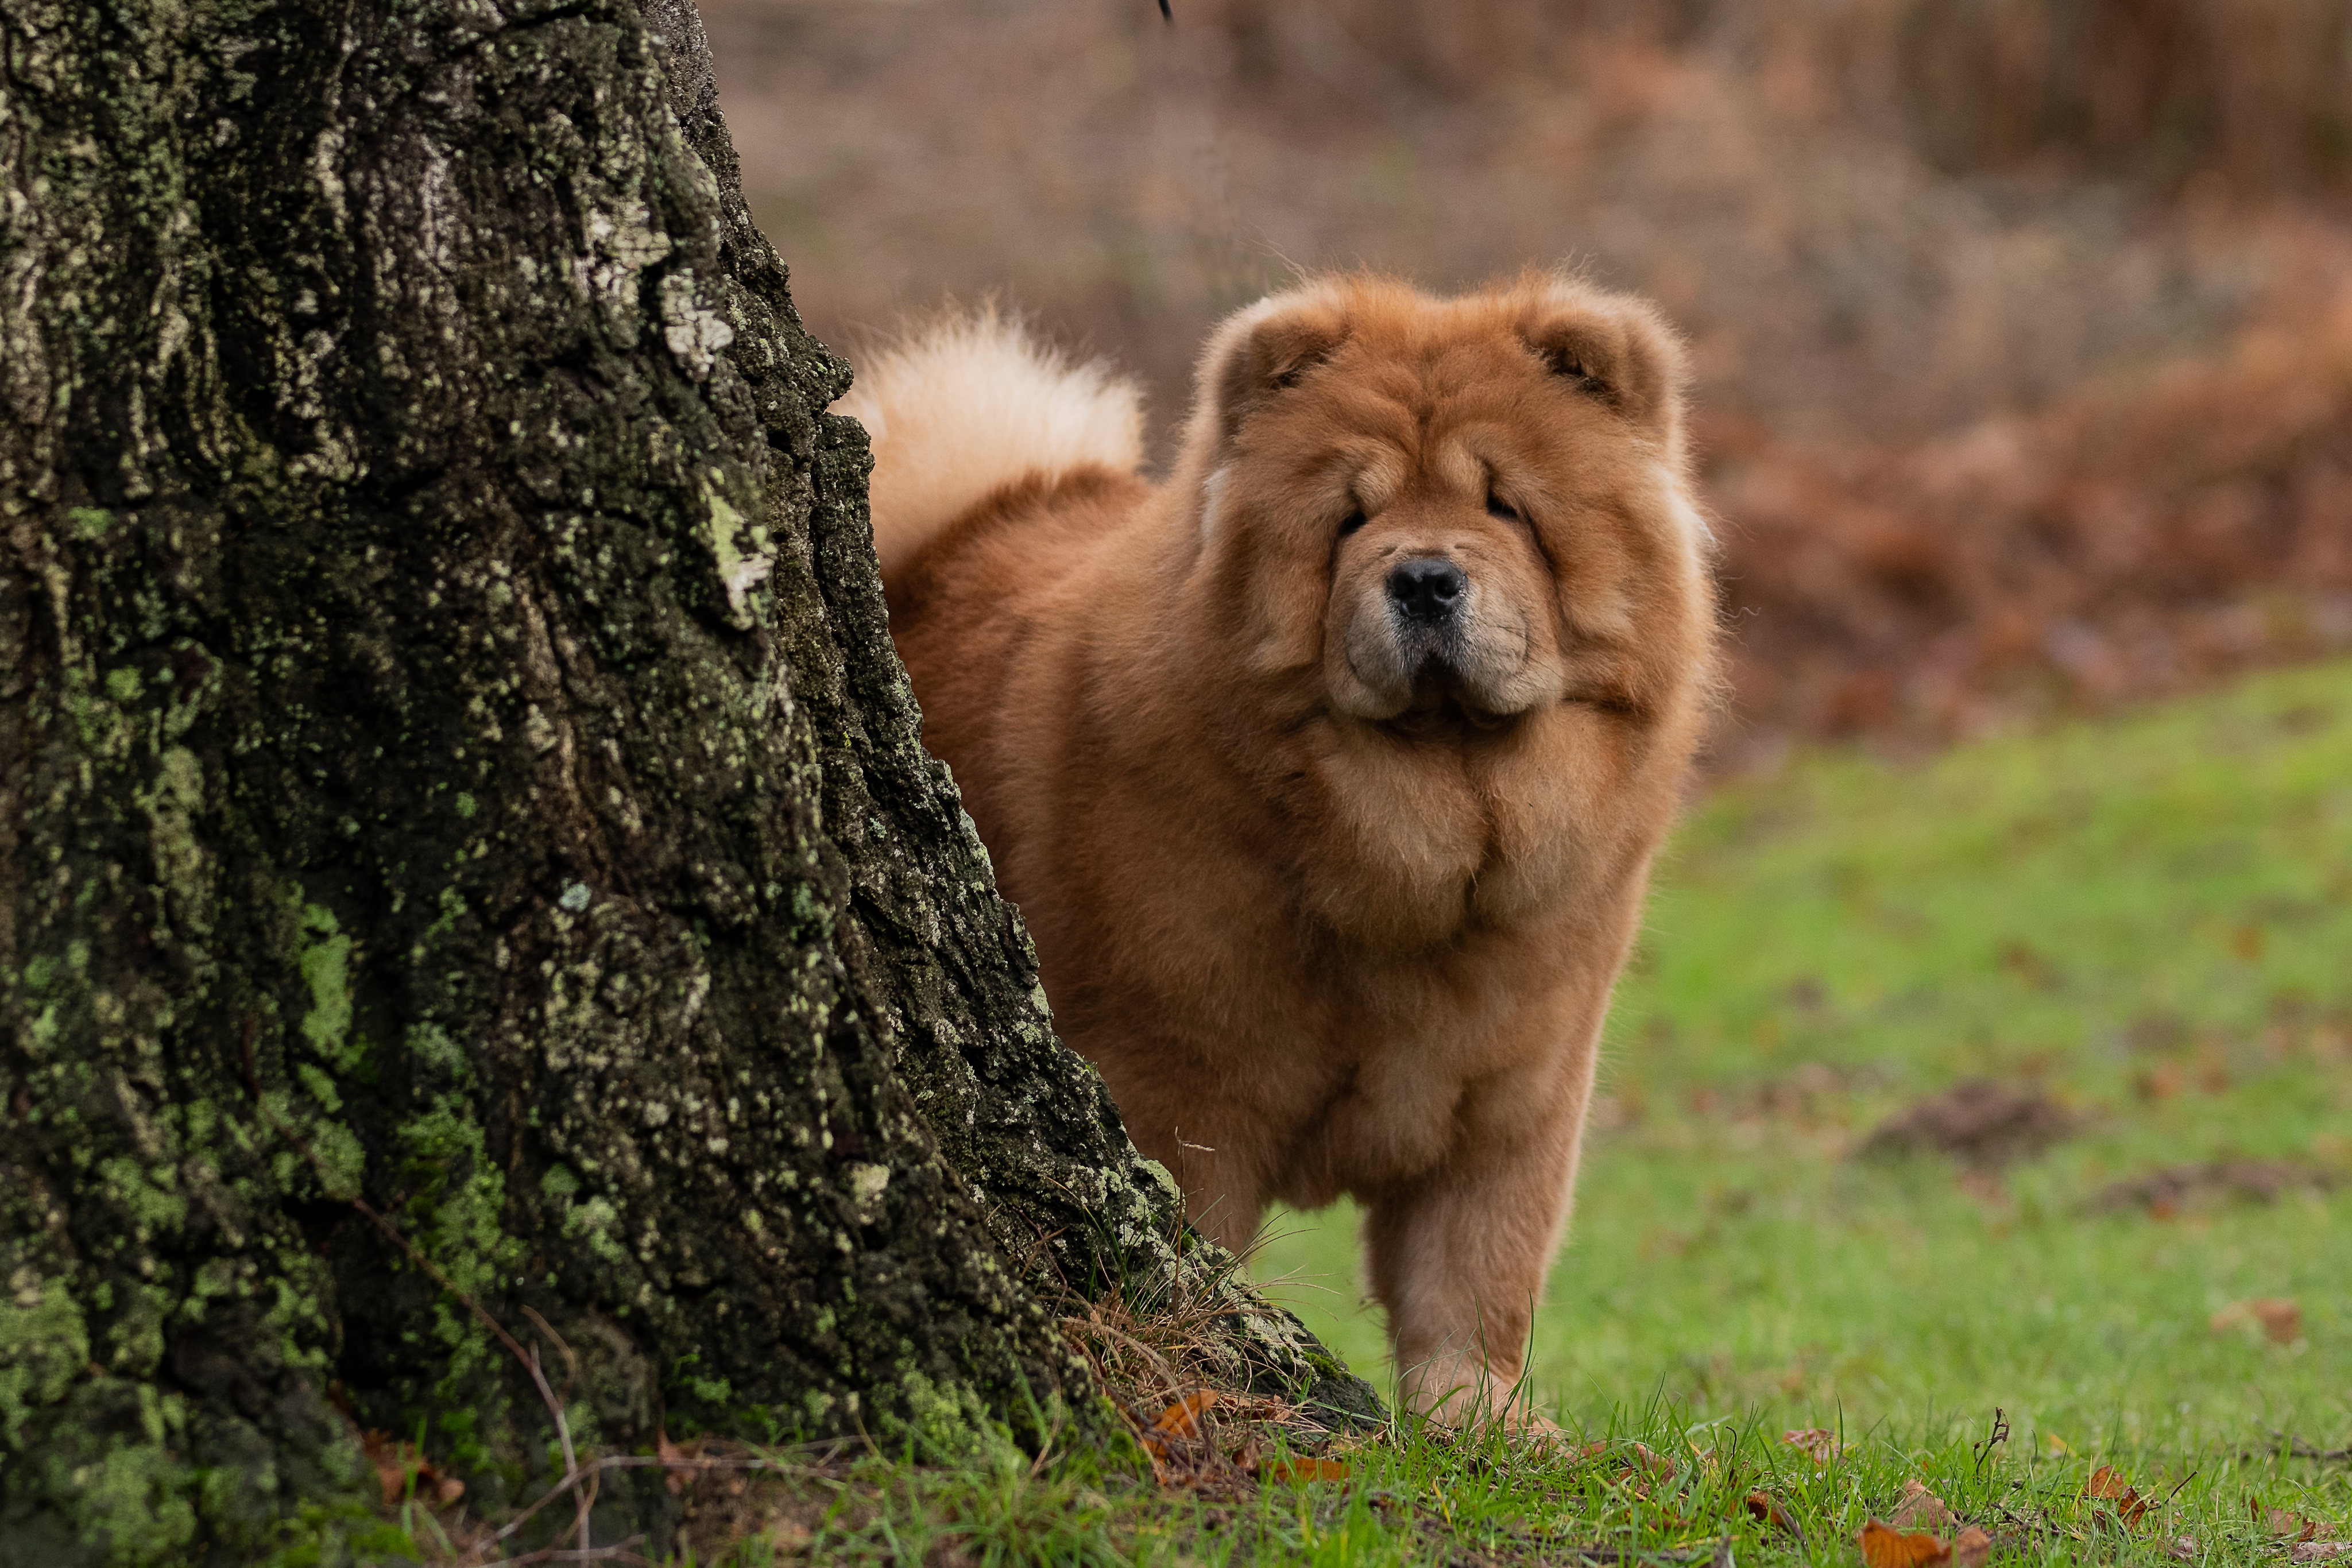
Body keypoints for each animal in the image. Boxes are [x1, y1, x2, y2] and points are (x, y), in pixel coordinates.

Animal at [842, 272, 1712, 1420]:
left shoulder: (1519, 1096)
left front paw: (1481, 1424)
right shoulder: (1180, 1087)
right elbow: (1193, 1237)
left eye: (1505, 507)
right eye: (1352, 518)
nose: (1424, 577)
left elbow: (1475, 1279)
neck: (1418, 838)